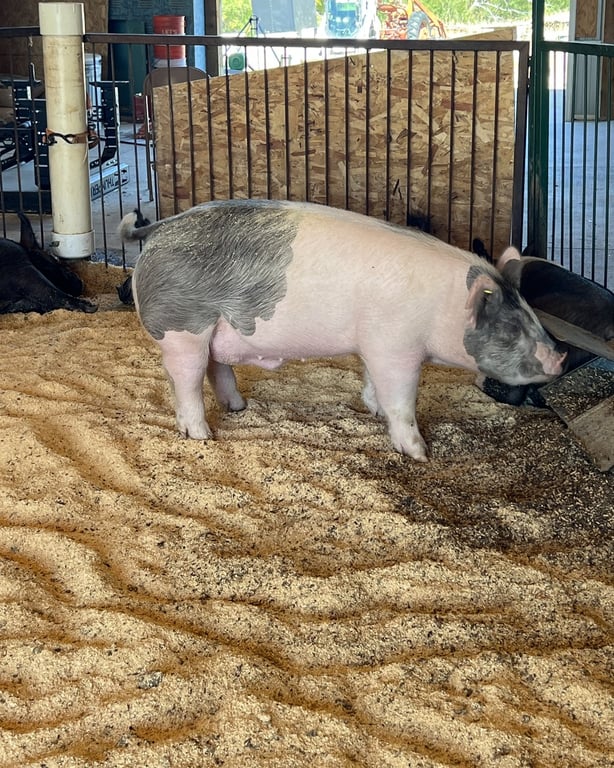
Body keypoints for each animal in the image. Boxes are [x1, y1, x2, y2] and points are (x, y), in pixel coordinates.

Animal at [120, 199, 566, 460]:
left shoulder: (374, 345)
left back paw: (238, 408)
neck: (443, 307)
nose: (560, 357)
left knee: (217, 369)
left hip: (214, 332)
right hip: (183, 329)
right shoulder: (396, 348)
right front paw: (420, 455)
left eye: (533, 315)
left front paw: (372, 409)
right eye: (510, 330)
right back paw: (203, 436)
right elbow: (401, 402)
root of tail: (157, 229)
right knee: (187, 380)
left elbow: (372, 383)